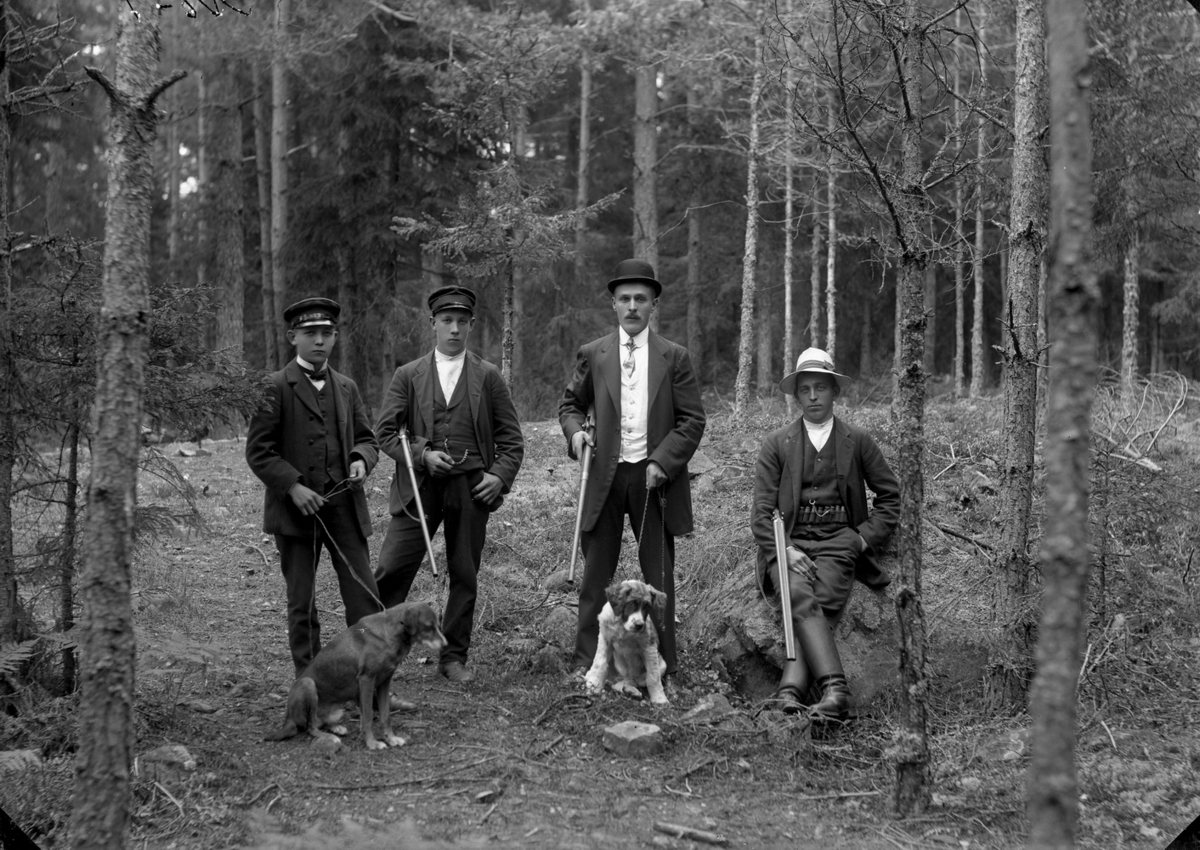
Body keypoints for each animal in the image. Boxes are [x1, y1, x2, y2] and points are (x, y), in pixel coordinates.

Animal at [264, 602, 445, 750]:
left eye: (438, 625)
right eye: (428, 627)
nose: (445, 644)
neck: (390, 633)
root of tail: (288, 718)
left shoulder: (384, 681)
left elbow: (385, 715)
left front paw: (391, 739)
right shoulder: (366, 680)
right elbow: (368, 718)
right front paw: (372, 743)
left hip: (336, 711)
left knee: (318, 722)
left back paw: (336, 728)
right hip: (307, 683)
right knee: (311, 727)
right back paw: (330, 737)